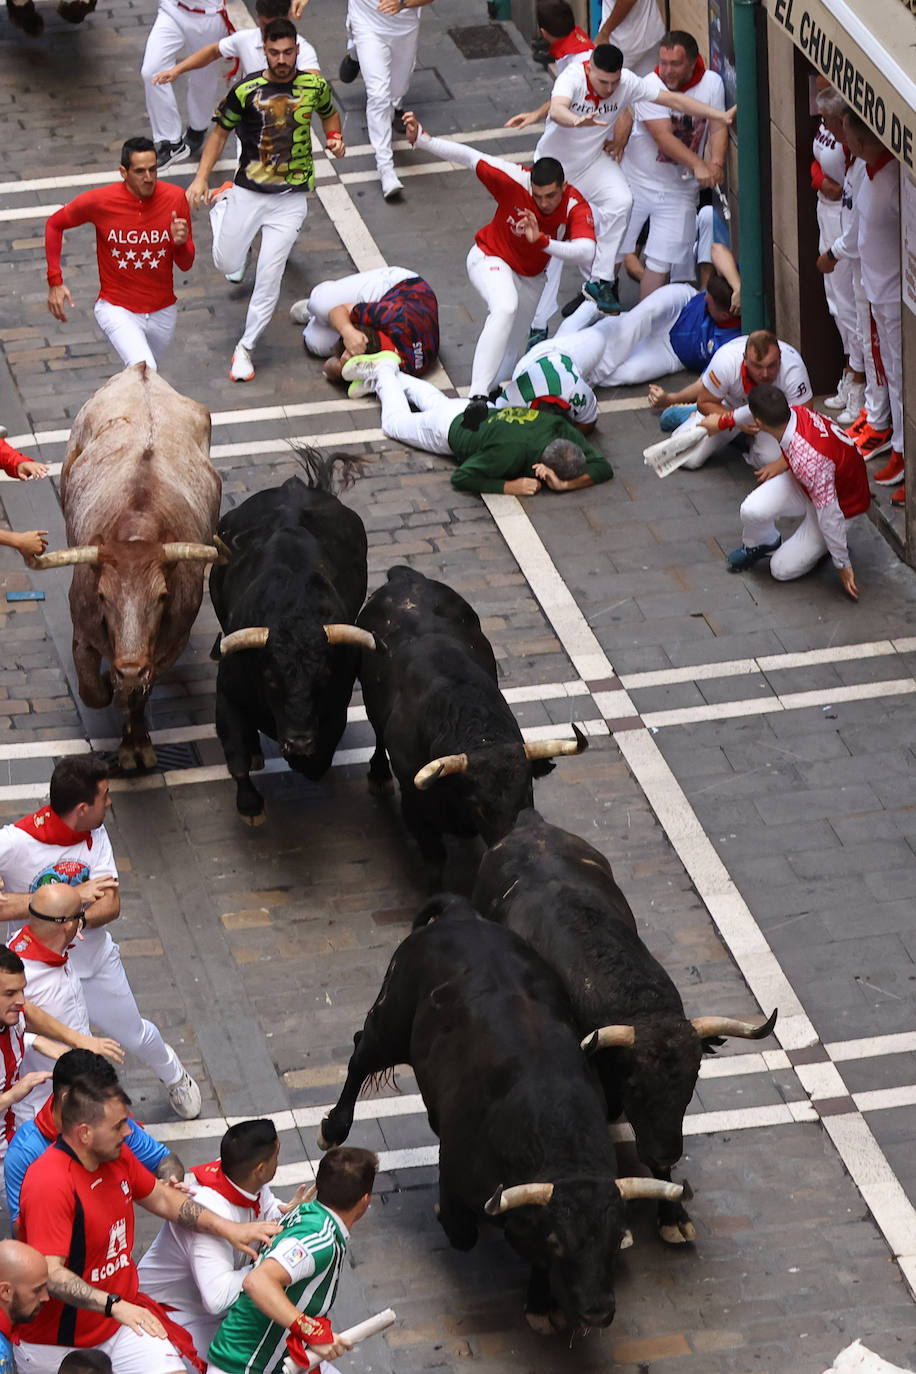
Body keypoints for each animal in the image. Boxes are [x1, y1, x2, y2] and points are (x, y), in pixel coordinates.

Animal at [32, 365, 222, 769]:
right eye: (103, 596)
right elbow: (92, 691)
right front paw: (110, 686)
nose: (129, 667)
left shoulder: (169, 645)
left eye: (162, 596)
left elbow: (139, 695)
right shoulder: (84, 630)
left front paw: (135, 743)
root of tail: (141, 371)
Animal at [318, 895, 683, 1335]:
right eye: (559, 1242)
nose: (598, 1311)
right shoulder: (455, 1171)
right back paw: (333, 1128)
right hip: (391, 1024)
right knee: (359, 1055)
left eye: (615, 1242)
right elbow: (462, 1231)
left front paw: (541, 1302)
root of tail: (459, 913)